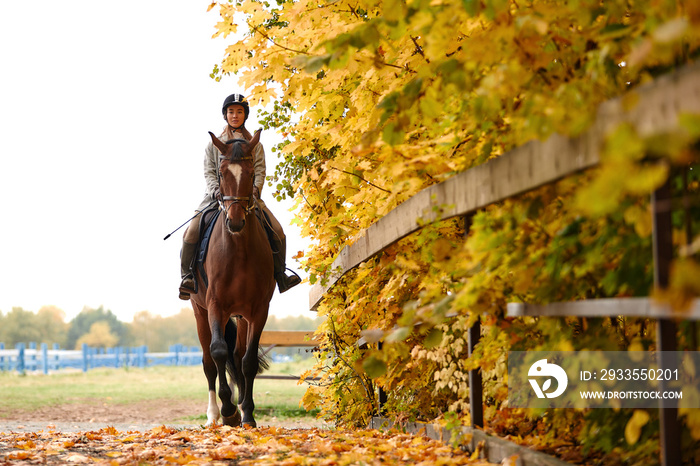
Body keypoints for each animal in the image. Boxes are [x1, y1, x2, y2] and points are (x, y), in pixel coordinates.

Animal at [189, 129, 276, 428]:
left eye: (250, 173)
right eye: (222, 172)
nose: (235, 222)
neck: (238, 250)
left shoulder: (258, 310)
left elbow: (247, 361)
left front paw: (246, 414)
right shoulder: (215, 305)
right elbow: (217, 352)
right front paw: (228, 411)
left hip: (240, 316)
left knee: (237, 358)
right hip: (200, 311)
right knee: (208, 362)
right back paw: (214, 415)